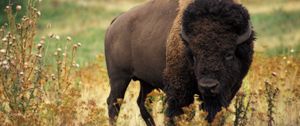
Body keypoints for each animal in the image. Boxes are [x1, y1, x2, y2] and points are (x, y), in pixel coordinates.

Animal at [104, 0, 254, 125]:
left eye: (229, 54)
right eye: (194, 55)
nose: (208, 85)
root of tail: (116, 22)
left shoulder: (229, 90)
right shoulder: (179, 92)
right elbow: (176, 115)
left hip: (146, 82)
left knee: (143, 104)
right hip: (119, 78)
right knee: (113, 104)